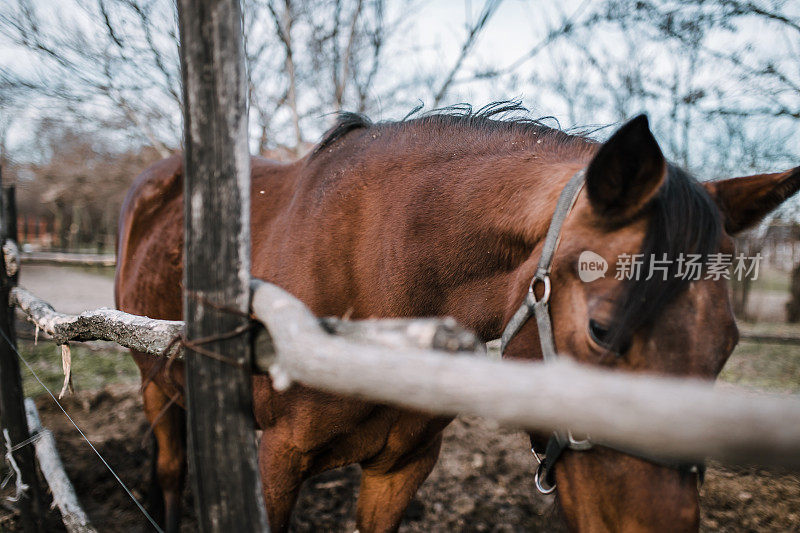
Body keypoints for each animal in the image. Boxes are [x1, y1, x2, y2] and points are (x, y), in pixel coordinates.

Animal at [115, 103, 796, 528]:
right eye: (601, 330)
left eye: (727, 346)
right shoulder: (277, 460)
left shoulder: (400, 470)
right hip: (153, 379)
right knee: (171, 471)